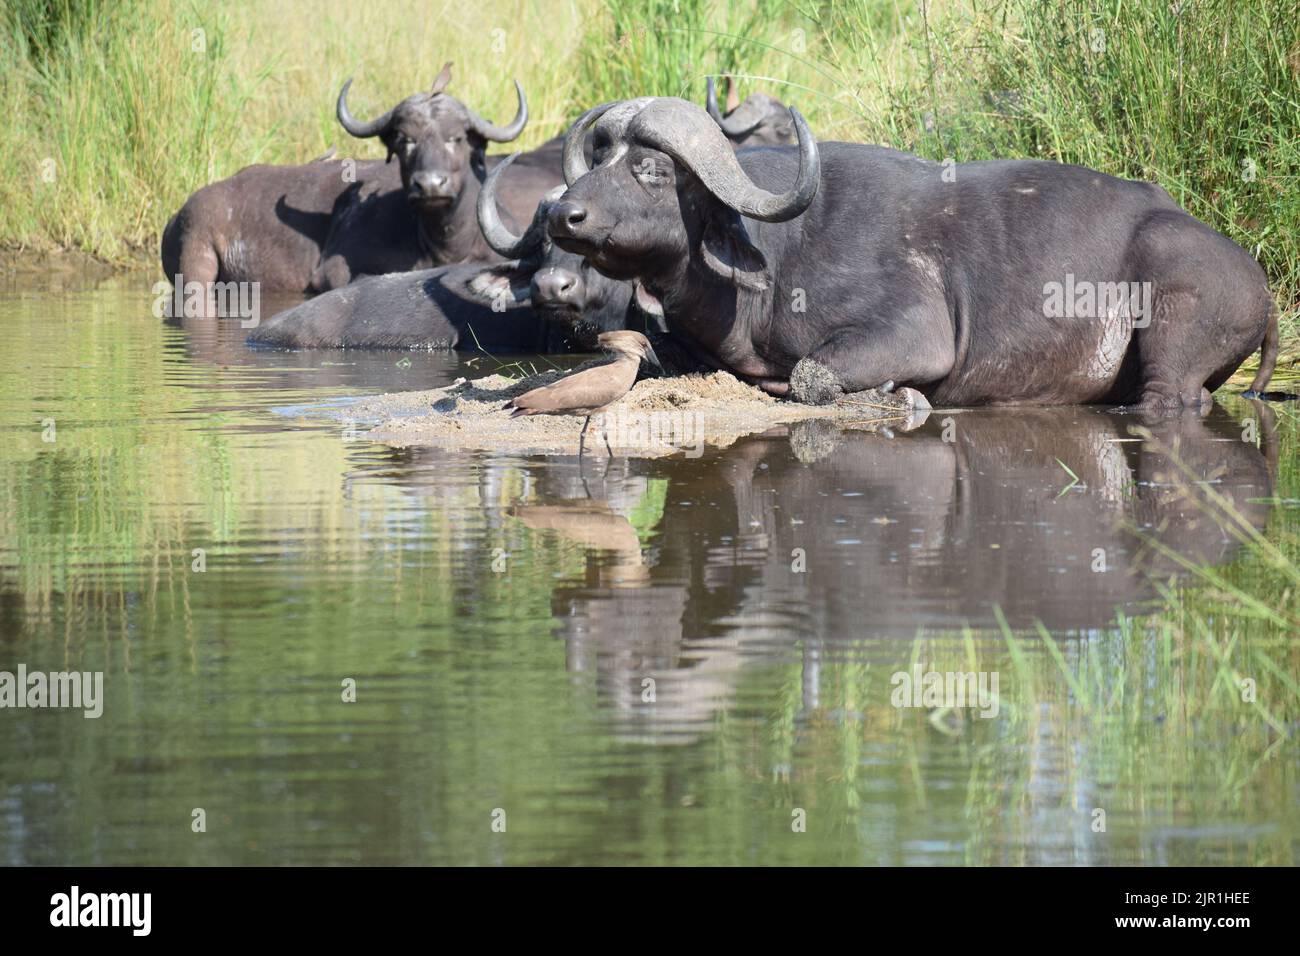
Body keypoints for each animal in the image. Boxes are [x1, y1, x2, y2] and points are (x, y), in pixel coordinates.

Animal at [549, 97, 1278, 408]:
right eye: (599, 157)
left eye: (650, 169)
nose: (563, 214)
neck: (770, 257)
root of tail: (1257, 281)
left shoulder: (910, 331)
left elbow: (811, 376)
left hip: (1173, 330)